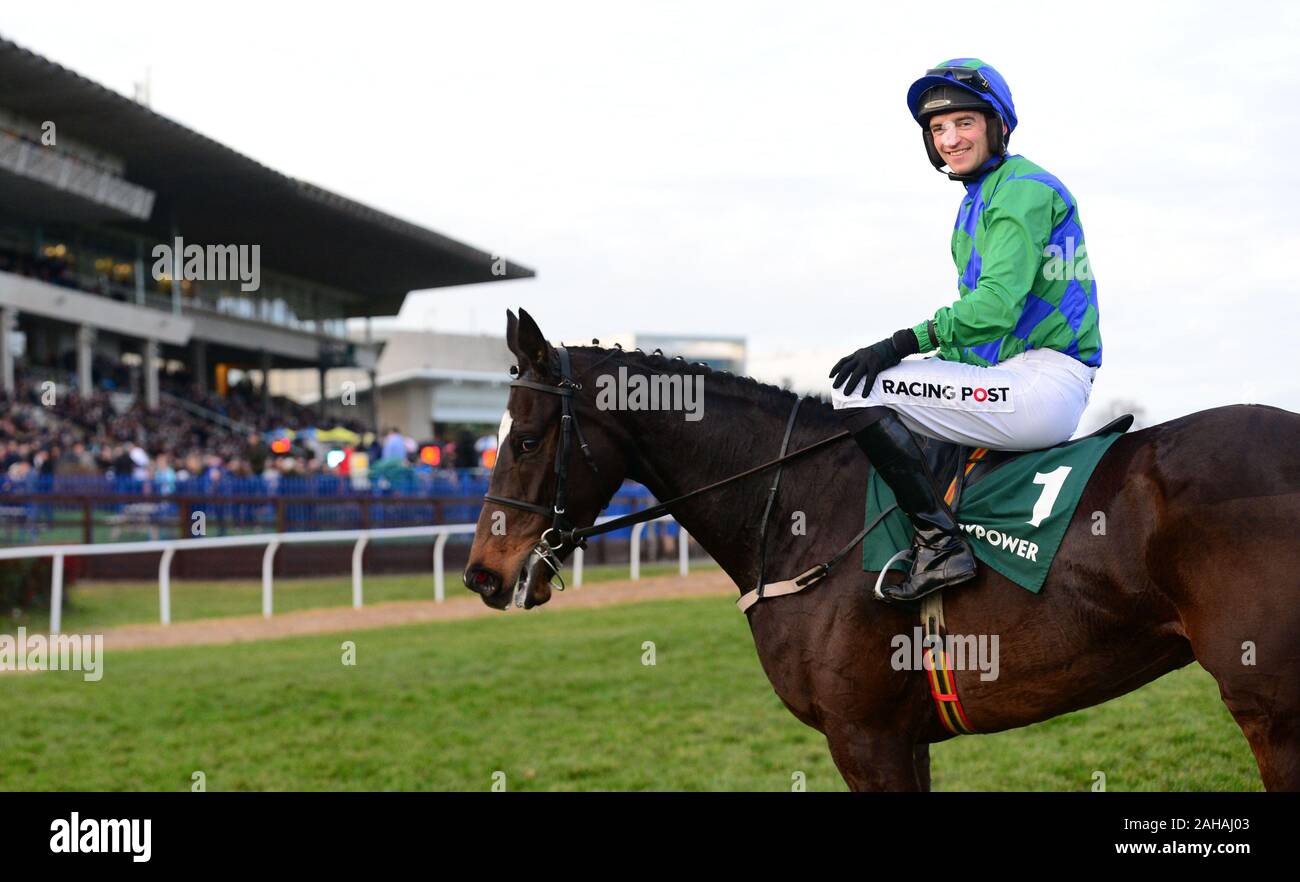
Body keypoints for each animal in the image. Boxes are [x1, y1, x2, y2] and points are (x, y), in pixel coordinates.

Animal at [465, 310, 1300, 796]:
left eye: (527, 439)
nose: (481, 574)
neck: (805, 513)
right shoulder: (903, 739)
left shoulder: (864, 739)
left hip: (1269, 703)